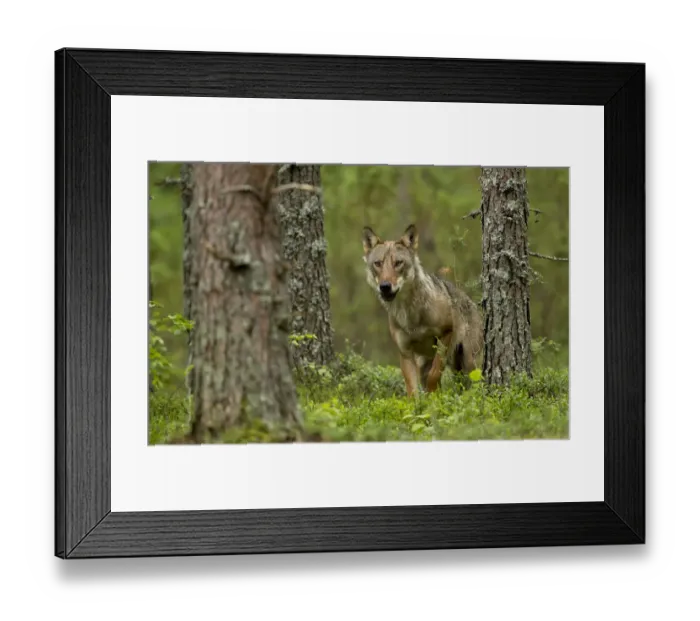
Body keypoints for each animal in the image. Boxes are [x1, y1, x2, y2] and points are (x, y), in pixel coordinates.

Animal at [362, 224, 484, 396]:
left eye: (398, 263)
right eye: (378, 263)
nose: (385, 286)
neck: (409, 314)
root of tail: (473, 304)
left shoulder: (447, 333)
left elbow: (435, 375)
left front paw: (434, 398)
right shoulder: (405, 352)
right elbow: (412, 390)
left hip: (468, 362)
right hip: (426, 365)